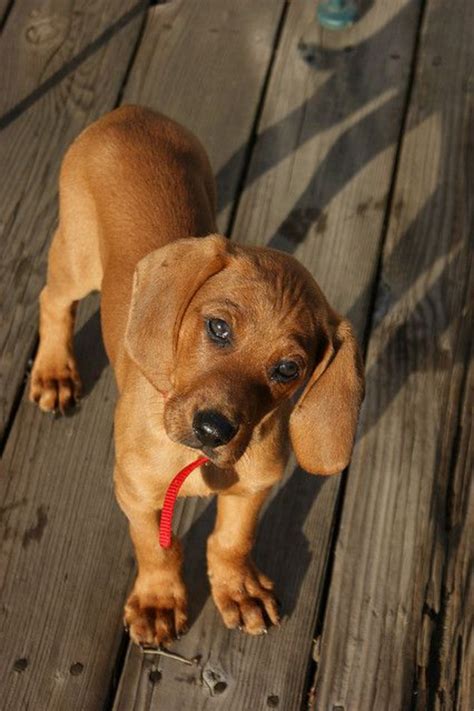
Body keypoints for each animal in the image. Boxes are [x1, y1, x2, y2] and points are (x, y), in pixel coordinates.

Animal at [28, 105, 362, 644]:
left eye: (288, 369)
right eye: (218, 327)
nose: (213, 429)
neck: (196, 460)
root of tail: (131, 112)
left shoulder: (253, 487)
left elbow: (231, 540)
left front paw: (239, 589)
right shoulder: (137, 493)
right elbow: (157, 548)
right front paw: (158, 601)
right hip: (75, 256)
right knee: (52, 300)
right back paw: (55, 371)